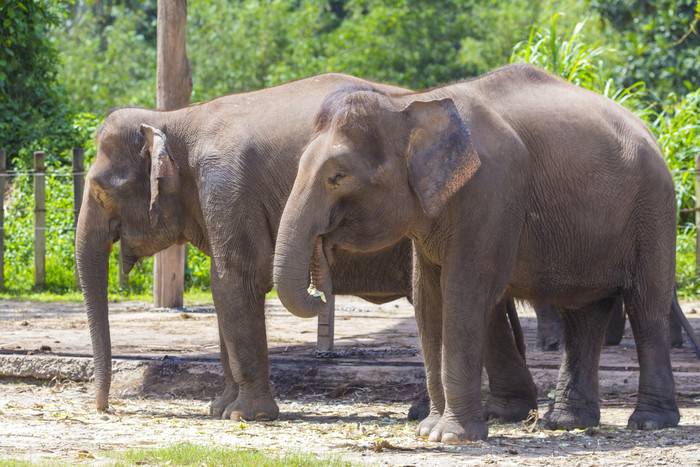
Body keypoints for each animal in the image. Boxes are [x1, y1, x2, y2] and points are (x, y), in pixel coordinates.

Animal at [75, 73, 422, 420]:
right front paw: (219, 408)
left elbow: (235, 281)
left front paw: (245, 415)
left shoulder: (228, 187)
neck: (174, 118)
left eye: (101, 191)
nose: (105, 408)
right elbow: (223, 292)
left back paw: (419, 413)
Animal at [272, 65, 680, 442]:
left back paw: (649, 422)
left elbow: (463, 291)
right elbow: (428, 298)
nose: (319, 289)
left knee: (646, 306)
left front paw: (451, 436)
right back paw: (567, 422)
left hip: (653, 211)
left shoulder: (492, 192)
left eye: (338, 176)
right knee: (583, 313)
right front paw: (428, 430)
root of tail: (650, 133)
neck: (410, 104)